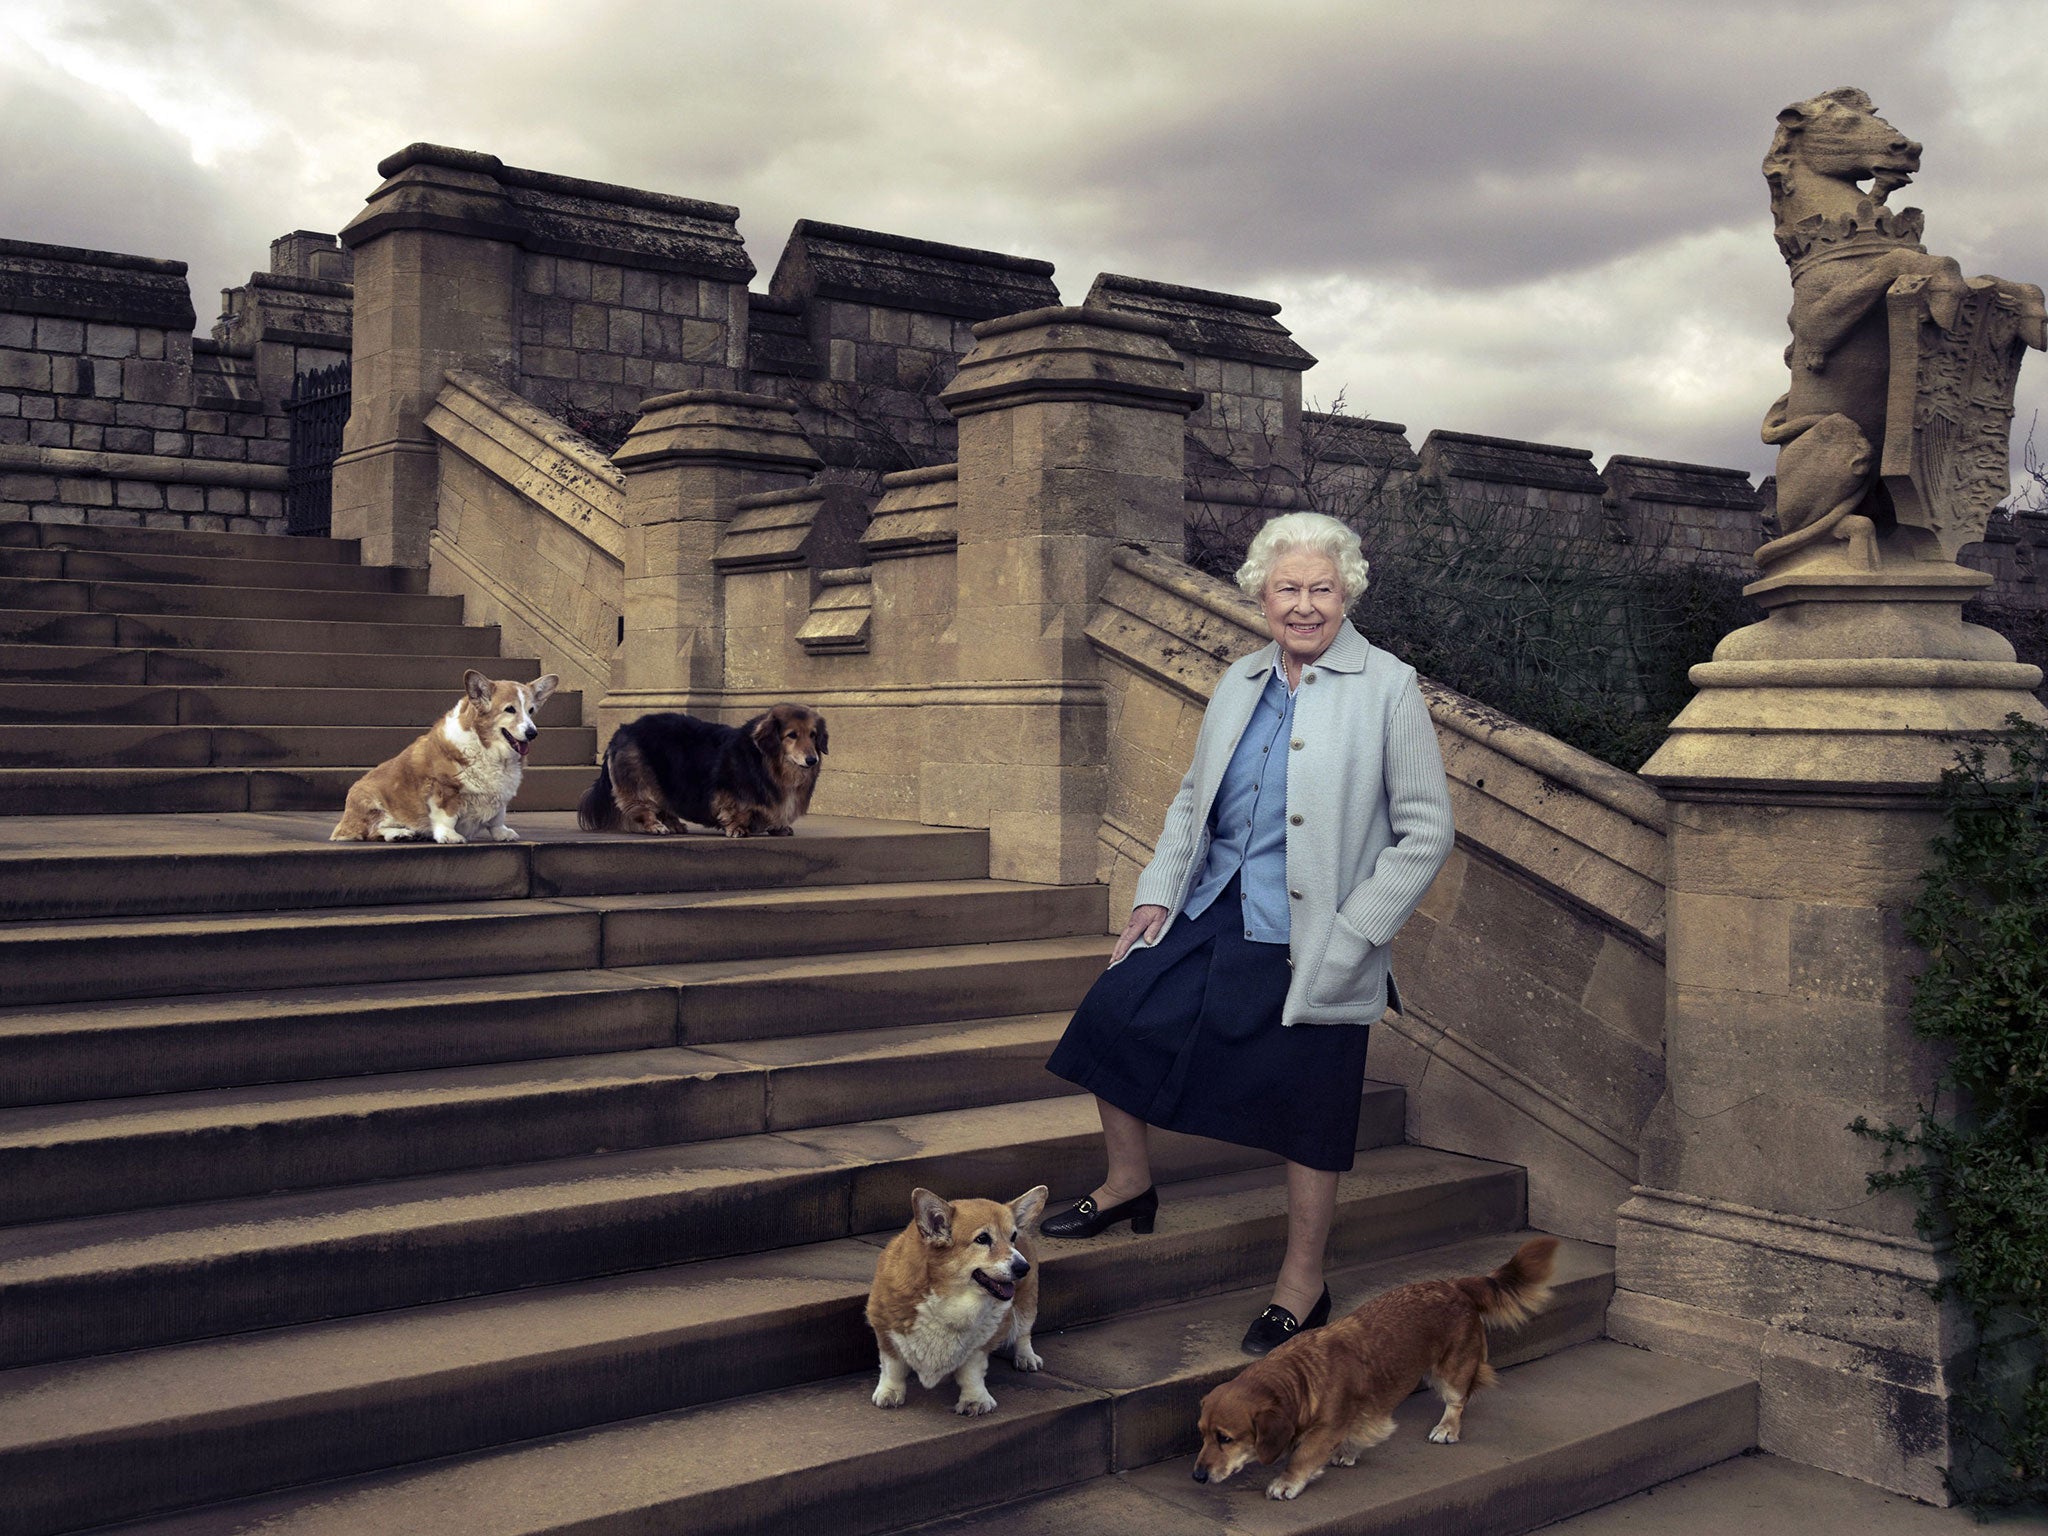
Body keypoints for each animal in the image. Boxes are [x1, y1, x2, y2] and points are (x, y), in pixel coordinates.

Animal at [573, 708, 827, 843]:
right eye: (792, 735)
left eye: (813, 735)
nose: (812, 760)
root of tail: (622, 731)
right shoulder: (731, 794)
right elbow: (737, 812)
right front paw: (737, 829)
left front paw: (779, 827)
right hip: (641, 783)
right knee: (642, 807)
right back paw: (656, 826)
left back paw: (674, 824)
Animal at [1187, 1236, 1548, 1507]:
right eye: (1202, 1434)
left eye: (1226, 1438)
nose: (1197, 1476)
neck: (1301, 1376)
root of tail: (1455, 1285)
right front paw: (1348, 1452)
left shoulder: (1326, 1427)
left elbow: (1303, 1456)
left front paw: (1287, 1482)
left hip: (1450, 1372)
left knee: (1458, 1401)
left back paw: (1447, 1428)